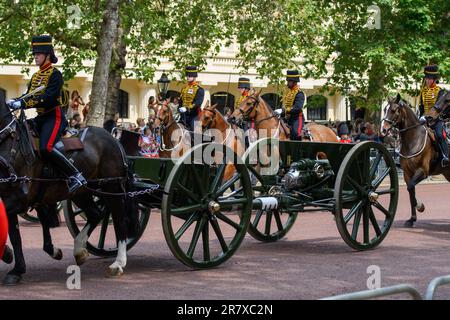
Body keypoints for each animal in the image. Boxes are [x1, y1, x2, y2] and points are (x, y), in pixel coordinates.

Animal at [0, 97, 139, 284]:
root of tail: (113, 138)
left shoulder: (17, 200)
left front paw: (12, 261)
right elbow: (17, 235)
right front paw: (15, 266)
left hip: (112, 188)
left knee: (119, 220)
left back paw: (118, 263)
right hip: (81, 192)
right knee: (95, 214)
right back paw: (80, 250)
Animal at [382, 93, 450, 228]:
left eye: (393, 110)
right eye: (384, 109)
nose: (383, 130)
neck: (413, 139)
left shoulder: (422, 171)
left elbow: (411, 188)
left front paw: (419, 206)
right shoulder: (407, 174)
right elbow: (410, 191)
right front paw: (412, 218)